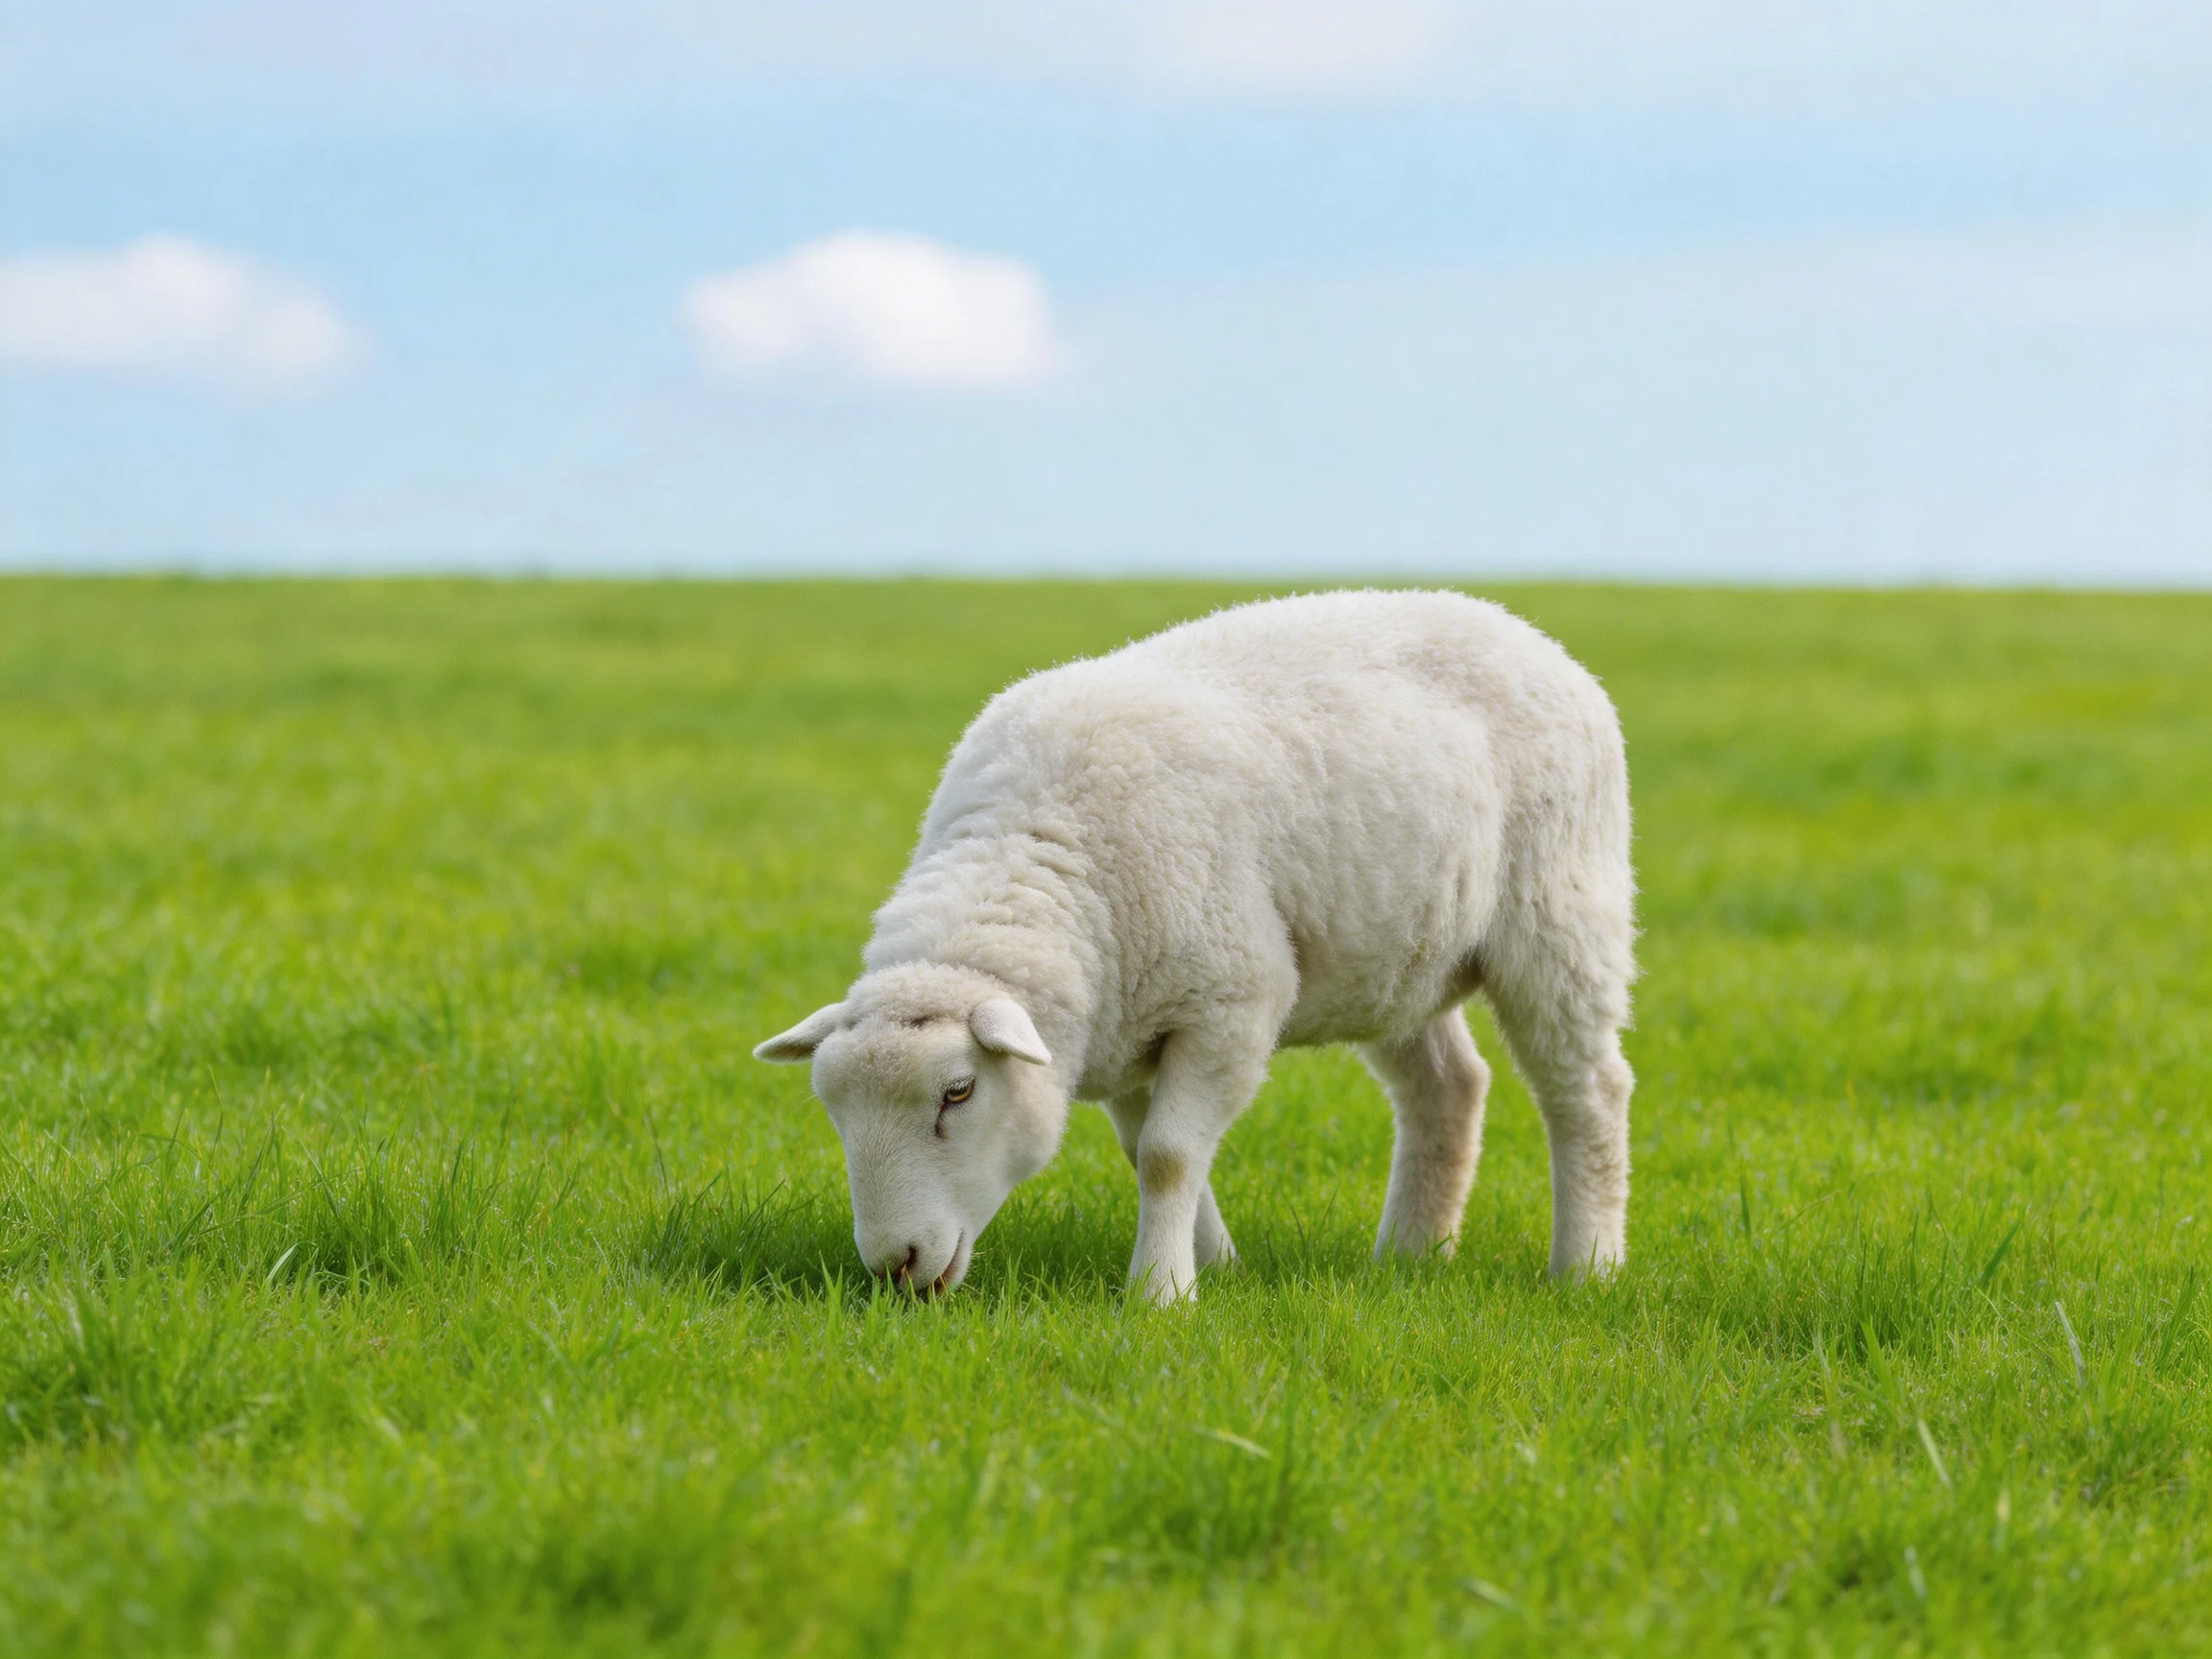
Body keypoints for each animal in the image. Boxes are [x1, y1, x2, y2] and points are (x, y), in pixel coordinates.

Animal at [755, 589, 1636, 1304]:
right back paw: (1411, 1257)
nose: (894, 1266)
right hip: (1395, 957)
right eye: (834, 1112)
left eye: (958, 1093)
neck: (1038, 847)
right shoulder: (1117, 1026)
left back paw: (1587, 1266)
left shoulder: (1230, 1003)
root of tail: (1520, 628)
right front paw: (1215, 1265)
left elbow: (1170, 1155)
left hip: (1561, 917)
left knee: (1587, 1091)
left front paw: (1162, 1291)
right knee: (1449, 1088)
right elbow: (1144, 1148)